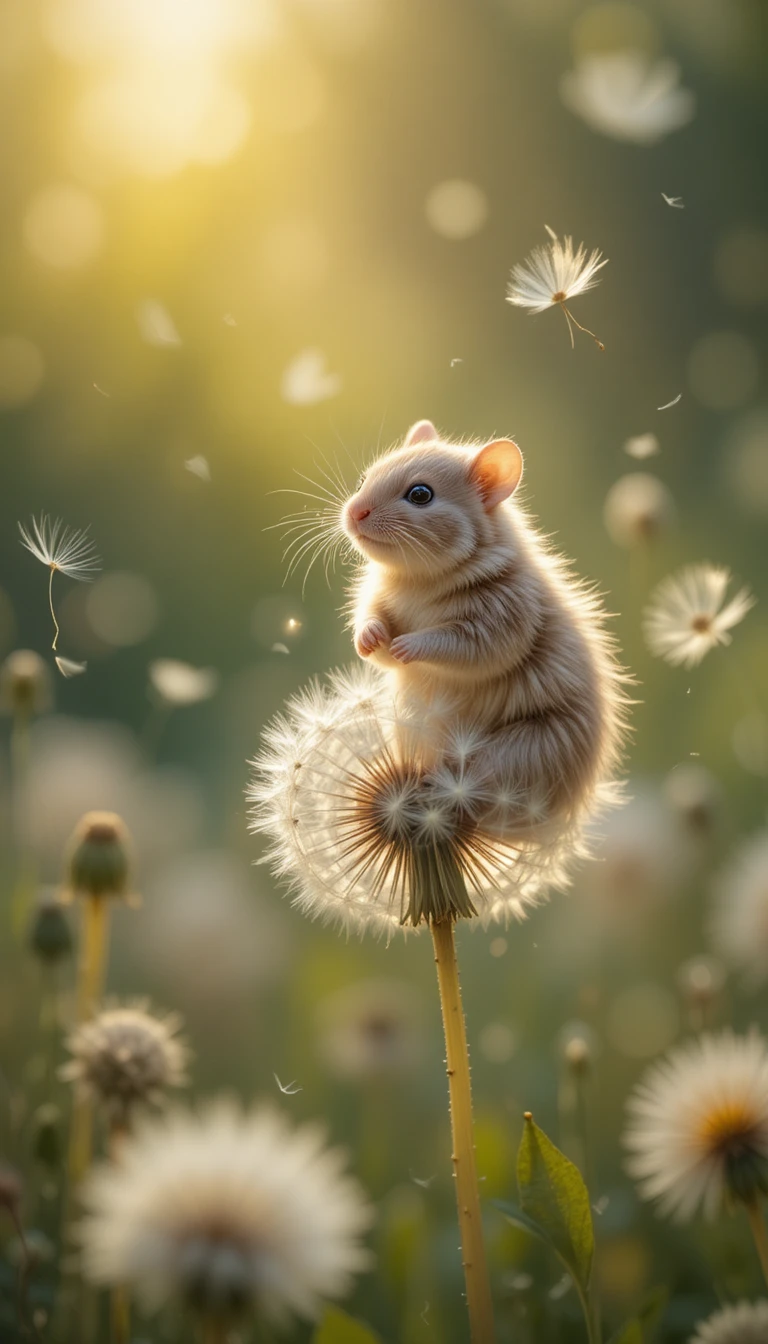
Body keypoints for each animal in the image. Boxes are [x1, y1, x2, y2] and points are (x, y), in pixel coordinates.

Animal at [341, 419, 627, 836]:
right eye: (364, 478)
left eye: (421, 494)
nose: (354, 512)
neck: (420, 581)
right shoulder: (379, 600)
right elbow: (375, 637)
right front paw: (371, 638)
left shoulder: (504, 617)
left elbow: (464, 647)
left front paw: (407, 646)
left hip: (517, 755)